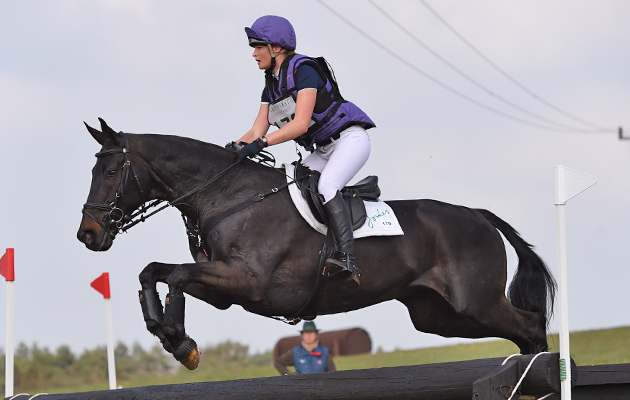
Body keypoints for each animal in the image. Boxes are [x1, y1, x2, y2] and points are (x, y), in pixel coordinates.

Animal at [78, 118, 556, 368]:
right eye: (93, 169)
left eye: (109, 172)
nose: (87, 235)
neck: (227, 195)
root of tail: (479, 215)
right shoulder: (223, 289)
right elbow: (155, 271)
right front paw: (166, 333)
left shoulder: (248, 281)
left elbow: (176, 274)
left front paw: (180, 342)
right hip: (439, 316)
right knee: (521, 331)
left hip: (475, 302)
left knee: (531, 325)